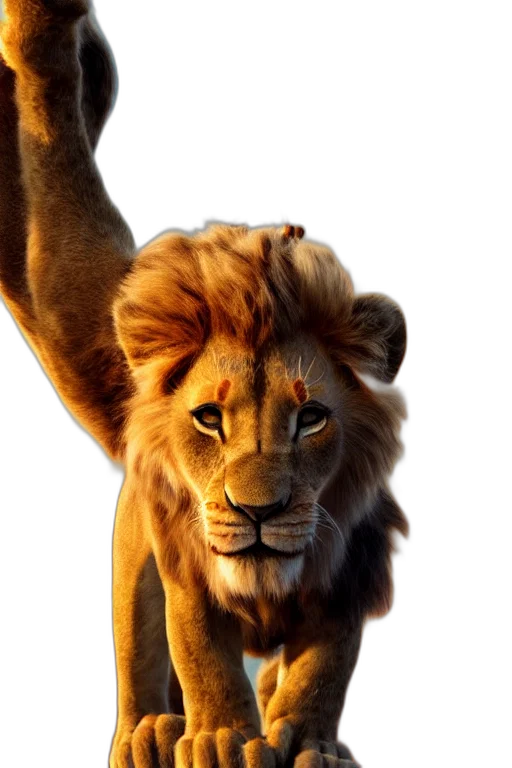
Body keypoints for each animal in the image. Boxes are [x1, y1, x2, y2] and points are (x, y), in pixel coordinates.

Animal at [0, 3, 409, 767]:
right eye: (209, 420)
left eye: (311, 417)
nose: (257, 512)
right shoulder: (182, 566)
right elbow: (198, 651)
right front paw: (221, 738)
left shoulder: (352, 573)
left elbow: (324, 665)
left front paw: (309, 741)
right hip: (133, 555)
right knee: (138, 655)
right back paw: (150, 733)